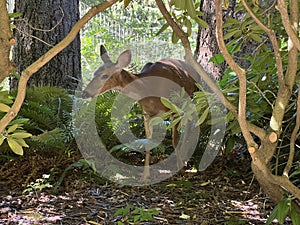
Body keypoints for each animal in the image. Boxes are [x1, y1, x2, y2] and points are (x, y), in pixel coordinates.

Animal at [83, 44, 198, 180]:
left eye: (105, 76)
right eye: (94, 73)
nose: (85, 93)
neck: (148, 89)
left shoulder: (172, 107)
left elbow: (174, 139)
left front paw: (180, 169)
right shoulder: (146, 113)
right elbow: (148, 142)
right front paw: (144, 175)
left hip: (189, 96)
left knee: (190, 122)